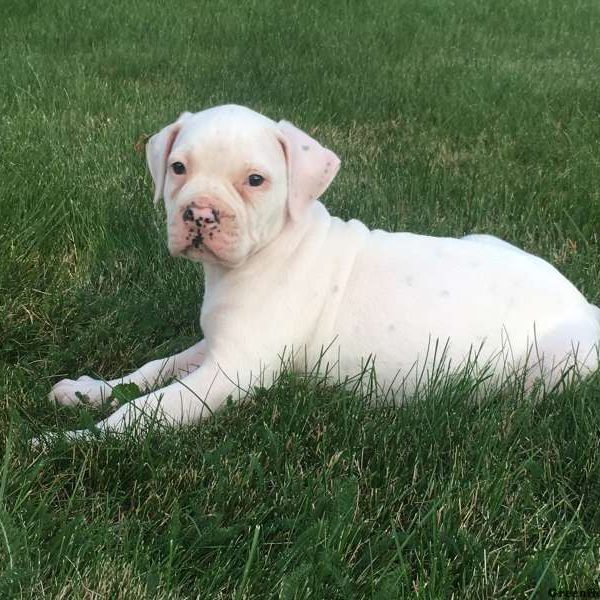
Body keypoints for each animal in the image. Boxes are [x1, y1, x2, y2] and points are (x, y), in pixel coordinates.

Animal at [48, 105, 600, 438]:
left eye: (255, 180)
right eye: (179, 169)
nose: (200, 214)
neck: (267, 251)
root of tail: (583, 303)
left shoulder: (231, 372)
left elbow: (143, 411)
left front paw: (67, 441)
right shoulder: (216, 347)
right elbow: (151, 370)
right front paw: (87, 391)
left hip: (558, 362)